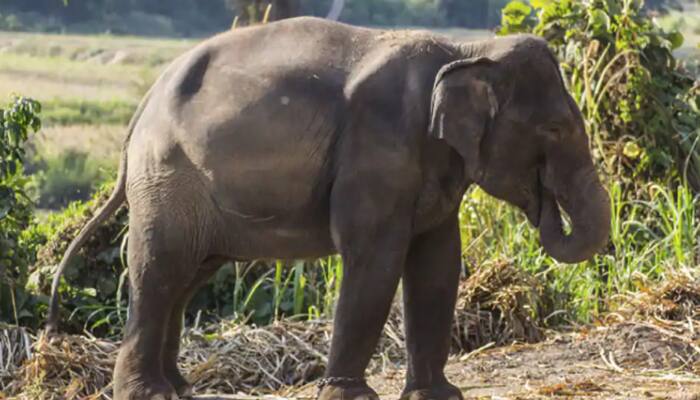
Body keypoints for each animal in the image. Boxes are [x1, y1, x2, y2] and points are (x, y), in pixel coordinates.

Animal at [46, 17, 610, 400]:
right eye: (555, 129)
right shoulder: (378, 146)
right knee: (159, 269)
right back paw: (151, 393)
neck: (467, 51)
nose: (544, 206)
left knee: (187, 276)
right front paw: (351, 396)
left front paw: (439, 396)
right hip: (167, 179)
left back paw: (180, 387)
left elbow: (438, 263)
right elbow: (375, 258)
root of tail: (141, 111)